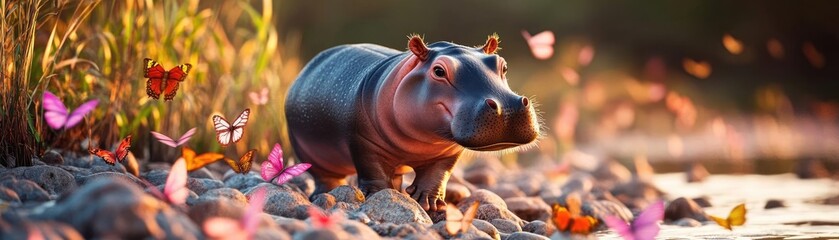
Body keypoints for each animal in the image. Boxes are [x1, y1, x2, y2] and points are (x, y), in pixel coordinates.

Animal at [286, 34, 540, 211]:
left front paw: (429, 202)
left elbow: (438, 174)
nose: (508, 107)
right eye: (439, 71)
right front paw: (381, 195)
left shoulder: (448, 151)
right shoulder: (363, 142)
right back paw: (323, 194)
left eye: (502, 65)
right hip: (311, 154)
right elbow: (373, 171)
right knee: (325, 177)